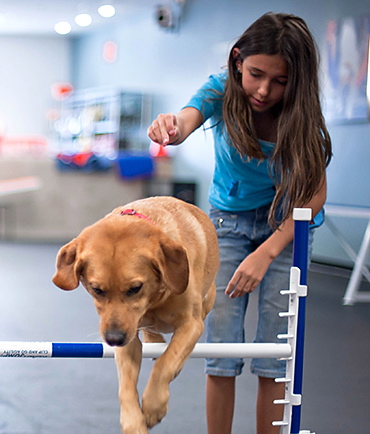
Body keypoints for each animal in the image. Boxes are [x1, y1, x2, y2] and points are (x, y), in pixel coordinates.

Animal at [52, 198, 220, 434]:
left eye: (135, 288)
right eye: (97, 289)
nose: (113, 339)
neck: (154, 300)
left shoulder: (191, 324)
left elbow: (166, 363)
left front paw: (153, 406)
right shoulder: (128, 338)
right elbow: (126, 385)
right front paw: (133, 422)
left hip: (208, 300)